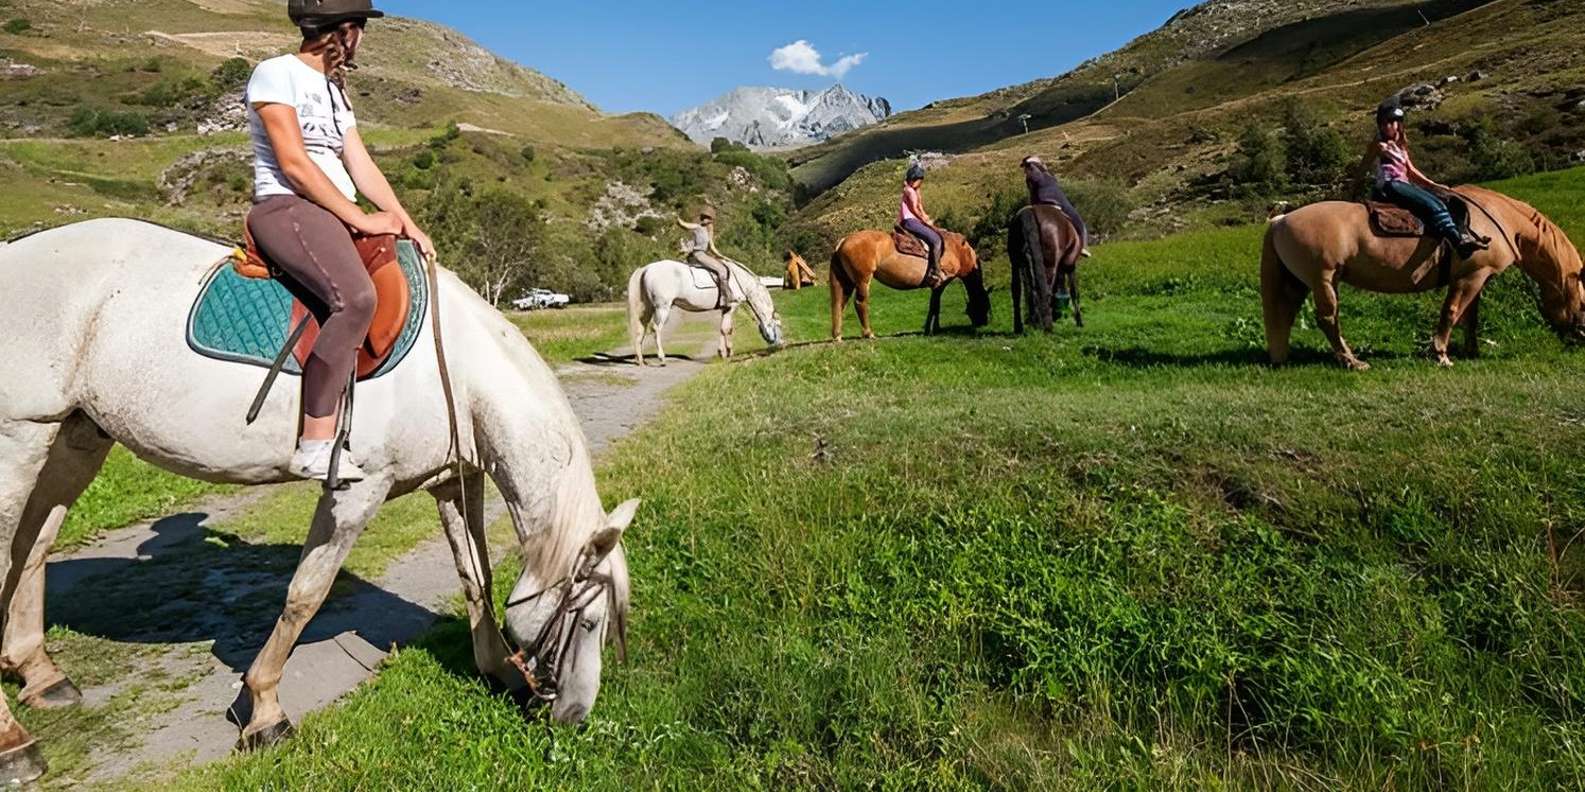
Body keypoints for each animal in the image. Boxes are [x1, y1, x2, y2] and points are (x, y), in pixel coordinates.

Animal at [0, 219, 638, 784]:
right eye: (587, 621)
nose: (575, 717)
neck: (456, 369)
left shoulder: (453, 482)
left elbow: (475, 575)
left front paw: (497, 669)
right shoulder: (358, 491)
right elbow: (306, 594)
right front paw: (264, 712)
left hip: (76, 434)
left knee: (34, 542)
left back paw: (39, 673)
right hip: (20, 436)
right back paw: (15, 744)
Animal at [626, 257, 783, 366]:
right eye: (779, 326)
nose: (781, 345)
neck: (740, 280)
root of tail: (647, 268)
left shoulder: (725, 309)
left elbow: (723, 329)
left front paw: (723, 352)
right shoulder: (732, 307)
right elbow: (727, 329)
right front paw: (728, 352)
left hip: (648, 308)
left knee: (641, 330)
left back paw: (640, 360)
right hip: (662, 308)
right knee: (655, 329)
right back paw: (661, 358)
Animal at [828, 229, 989, 340]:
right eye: (985, 305)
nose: (983, 323)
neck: (958, 251)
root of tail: (843, 241)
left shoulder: (937, 286)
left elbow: (934, 306)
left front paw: (932, 328)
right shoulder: (941, 283)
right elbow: (935, 306)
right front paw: (932, 330)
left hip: (847, 282)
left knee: (840, 304)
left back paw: (838, 335)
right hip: (862, 280)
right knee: (860, 303)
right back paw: (869, 333)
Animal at [1008, 205, 1086, 333]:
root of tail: (1029, 212)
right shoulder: (1070, 265)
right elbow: (1074, 292)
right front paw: (1079, 322)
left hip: (1015, 263)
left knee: (1017, 292)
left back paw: (1020, 327)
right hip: (1050, 264)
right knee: (1046, 289)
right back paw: (1047, 326)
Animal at [1262, 186, 1585, 370]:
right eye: (1583, 303)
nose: (1580, 339)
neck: (1499, 221)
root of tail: (1280, 220)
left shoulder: (1476, 277)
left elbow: (1470, 317)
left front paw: (1471, 351)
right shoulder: (1471, 276)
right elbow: (1452, 312)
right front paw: (1440, 354)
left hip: (1300, 283)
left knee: (1286, 315)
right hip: (1323, 280)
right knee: (1328, 319)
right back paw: (1352, 361)